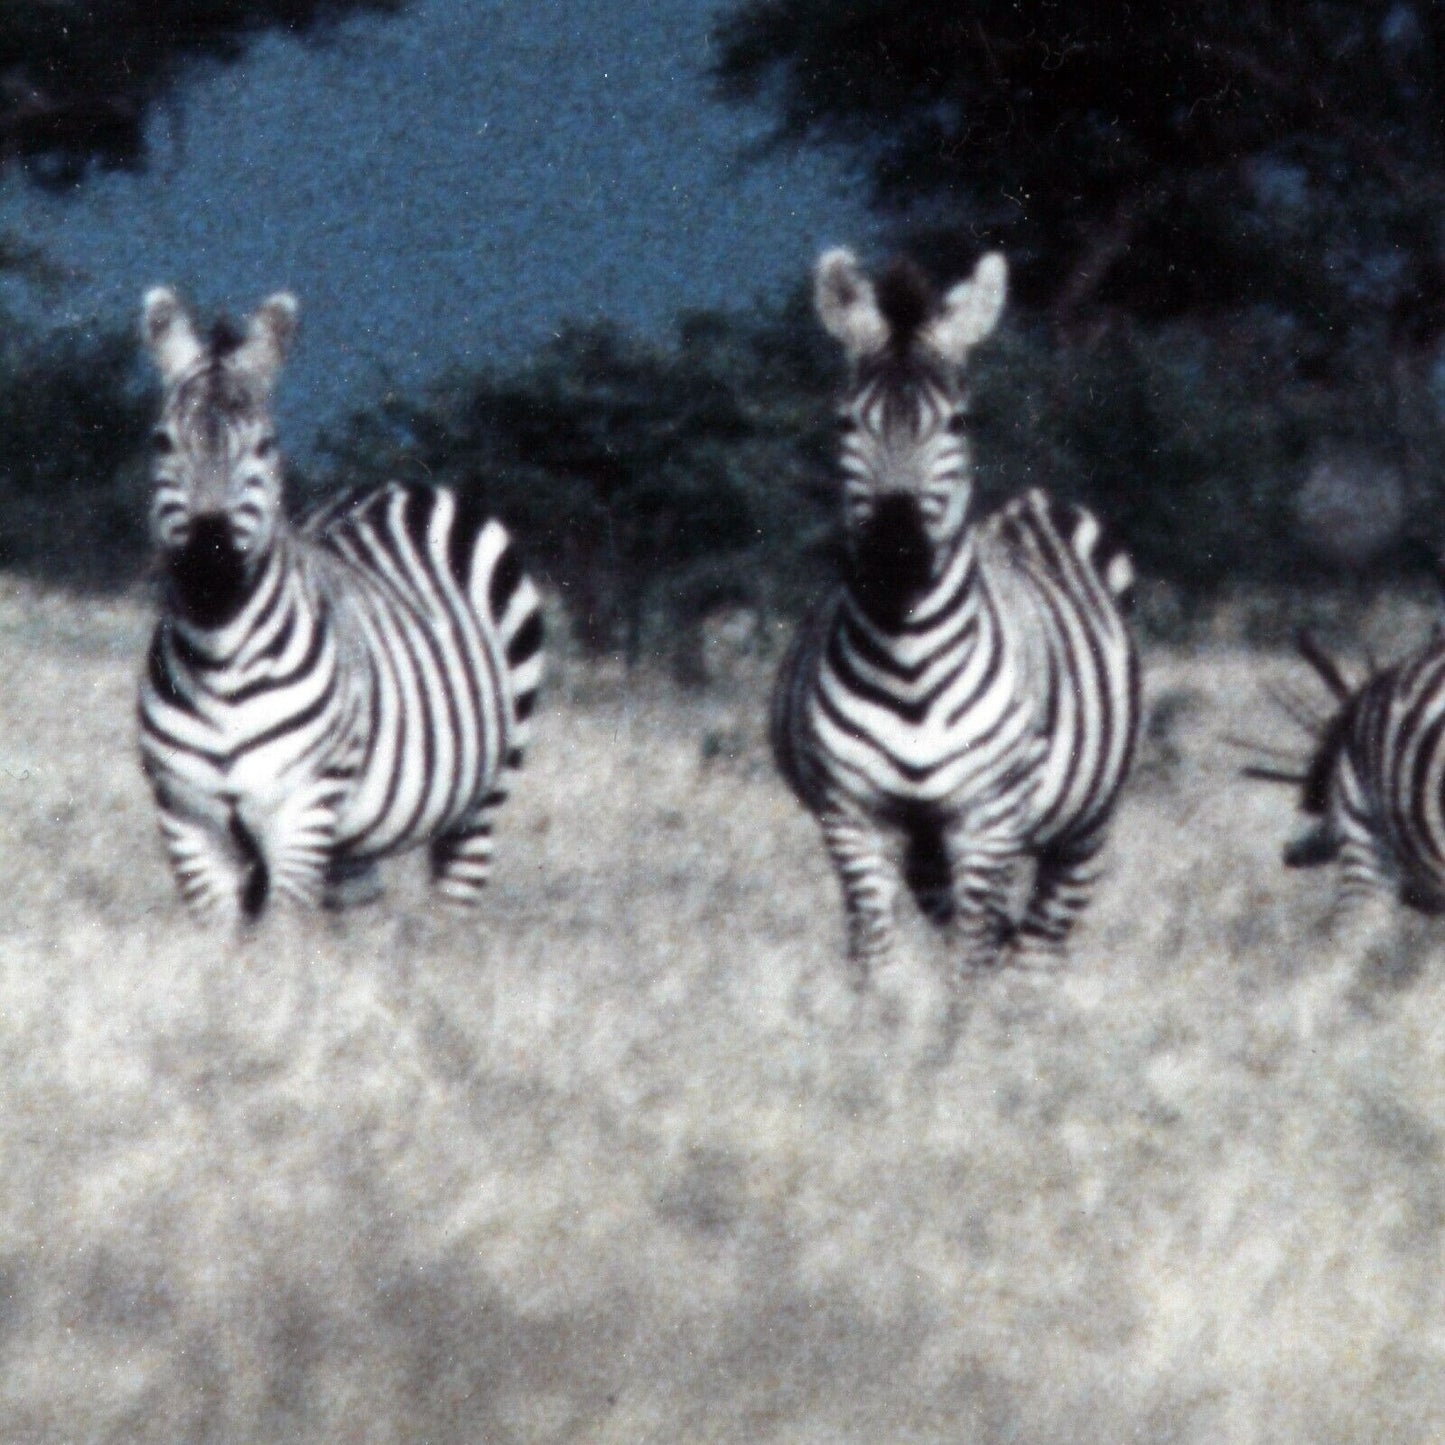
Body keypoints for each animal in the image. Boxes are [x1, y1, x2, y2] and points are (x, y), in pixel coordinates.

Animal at [137, 287, 543, 926]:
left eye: (266, 447)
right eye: (163, 442)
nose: (209, 563)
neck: (218, 659)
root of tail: (401, 485)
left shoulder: (300, 811)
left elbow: (282, 936)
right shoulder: (188, 821)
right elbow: (221, 942)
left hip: (487, 785)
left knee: (458, 885)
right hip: (354, 836)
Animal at [771, 248, 1139, 983]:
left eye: (958, 424)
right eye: (845, 423)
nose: (898, 553)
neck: (907, 654)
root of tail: (1031, 507)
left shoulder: (986, 822)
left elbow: (969, 970)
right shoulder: (854, 818)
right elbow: (879, 963)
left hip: (1083, 830)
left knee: (1035, 953)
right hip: (926, 849)